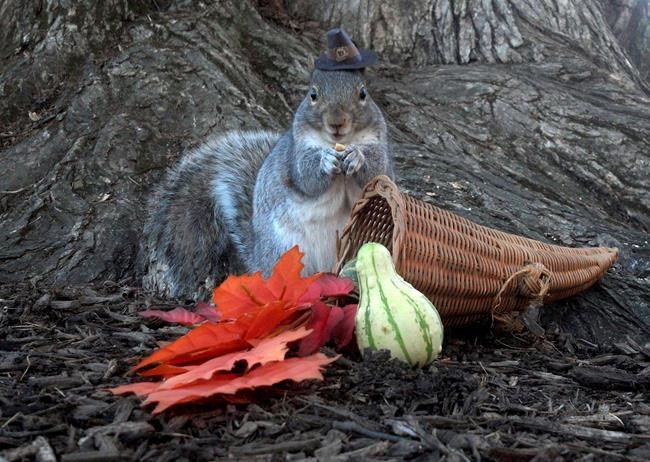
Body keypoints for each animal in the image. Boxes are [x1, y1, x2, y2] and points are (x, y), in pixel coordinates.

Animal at [141, 28, 394, 300]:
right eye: (313, 95)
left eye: (363, 93)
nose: (337, 122)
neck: (341, 143)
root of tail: (258, 261)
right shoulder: (296, 153)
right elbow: (306, 179)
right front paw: (325, 161)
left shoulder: (380, 144)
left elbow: (379, 172)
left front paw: (357, 157)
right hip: (284, 249)